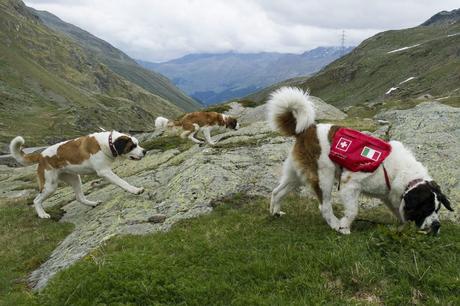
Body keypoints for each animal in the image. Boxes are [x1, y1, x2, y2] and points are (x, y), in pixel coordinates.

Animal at [9, 130, 146, 219]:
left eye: (138, 144)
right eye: (132, 146)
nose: (145, 151)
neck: (107, 143)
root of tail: (41, 155)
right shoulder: (104, 171)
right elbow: (122, 182)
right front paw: (135, 190)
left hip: (75, 178)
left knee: (79, 197)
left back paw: (92, 204)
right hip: (50, 186)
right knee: (36, 200)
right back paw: (42, 215)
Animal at [266, 87, 452, 235]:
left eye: (437, 209)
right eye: (426, 208)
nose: (437, 226)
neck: (400, 173)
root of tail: (307, 129)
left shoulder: (388, 195)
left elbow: (398, 211)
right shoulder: (350, 184)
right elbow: (353, 211)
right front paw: (344, 227)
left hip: (295, 174)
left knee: (277, 191)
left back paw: (275, 213)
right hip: (324, 176)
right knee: (324, 206)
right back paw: (334, 224)